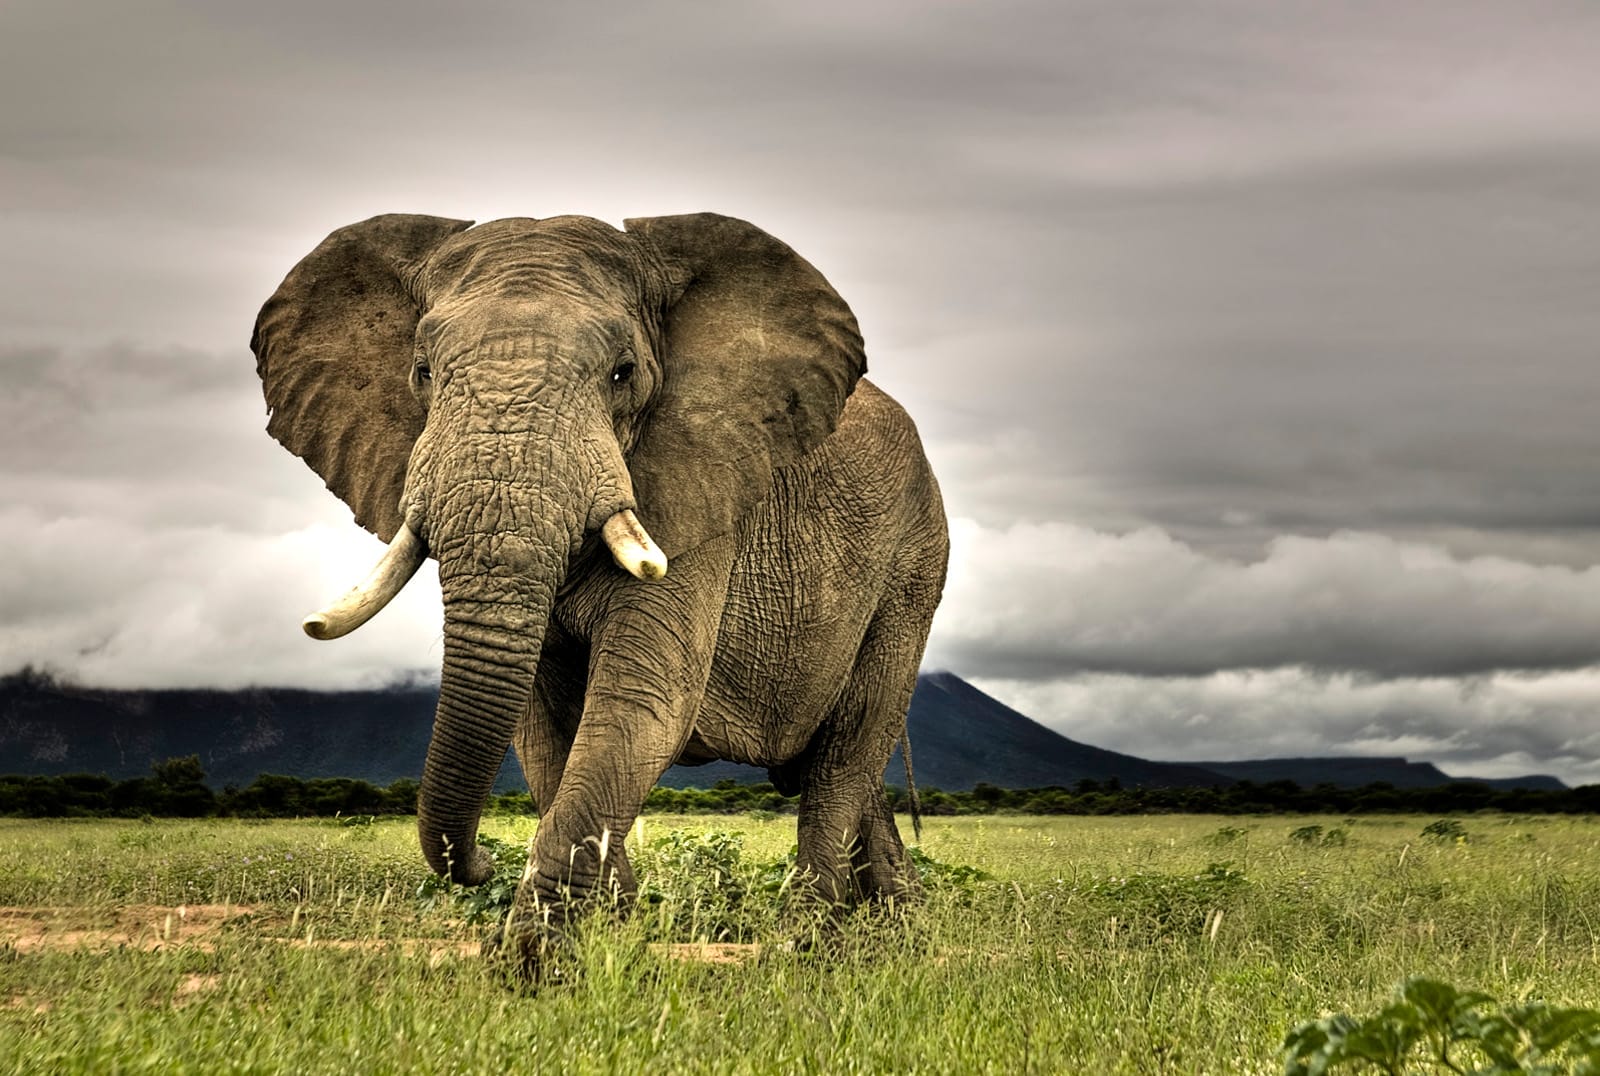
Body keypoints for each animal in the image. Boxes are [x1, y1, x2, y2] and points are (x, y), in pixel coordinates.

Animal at [251, 211, 948, 973]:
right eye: (422, 372)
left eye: (624, 373)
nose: (479, 865)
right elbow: (542, 728)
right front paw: (611, 940)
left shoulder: (699, 498)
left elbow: (641, 704)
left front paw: (531, 967)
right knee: (848, 769)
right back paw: (898, 931)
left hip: (913, 569)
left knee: (846, 753)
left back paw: (806, 949)